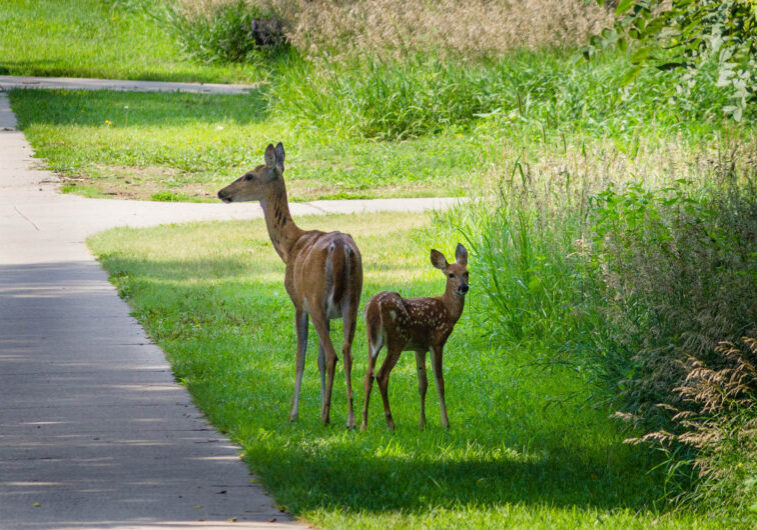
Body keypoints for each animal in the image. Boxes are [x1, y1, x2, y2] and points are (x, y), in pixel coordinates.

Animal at [217, 142, 363, 428]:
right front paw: (320, 406)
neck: (290, 246)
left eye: (249, 176)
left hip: (316, 299)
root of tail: (340, 248)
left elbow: (301, 358)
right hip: (353, 301)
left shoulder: (298, 302)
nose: (222, 192)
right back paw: (350, 419)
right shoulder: (330, 311)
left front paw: (294, 413)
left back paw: (327, 417)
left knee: (333, 354)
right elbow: (317, 359)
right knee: (347, 352)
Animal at [361, 244, 469, 431]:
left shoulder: (419, 348)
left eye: (466, 272)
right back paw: (390, 423)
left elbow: (422, 384)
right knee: (381, 374)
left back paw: (362, 425)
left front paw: (422, 423)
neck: (448, 310)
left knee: (369, 374)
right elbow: (439, 382)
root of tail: (374, 307)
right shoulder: (437, 342)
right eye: (451, 274)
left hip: (372, 341)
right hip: (397, 339)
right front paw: (445, 423)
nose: (463, 288)